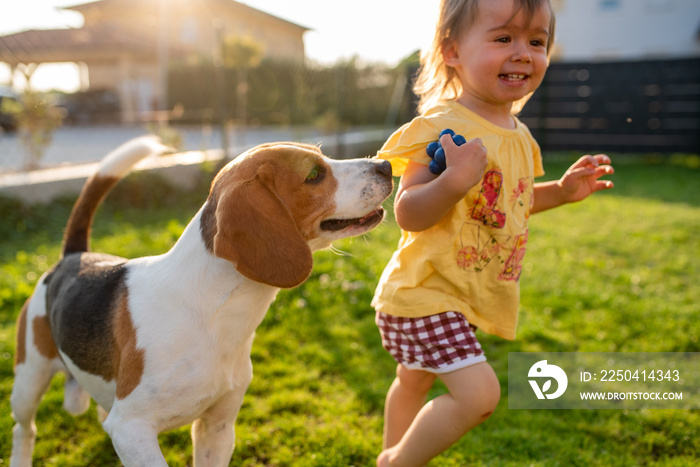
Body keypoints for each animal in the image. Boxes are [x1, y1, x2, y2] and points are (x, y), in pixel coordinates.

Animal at [10, 137, 394, 466]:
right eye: (314, 175)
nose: (386, 166)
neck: (213, 314)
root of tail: (75, 256)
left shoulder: (217, 427)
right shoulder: (132, 429)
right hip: (29, 379)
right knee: (24, 429)